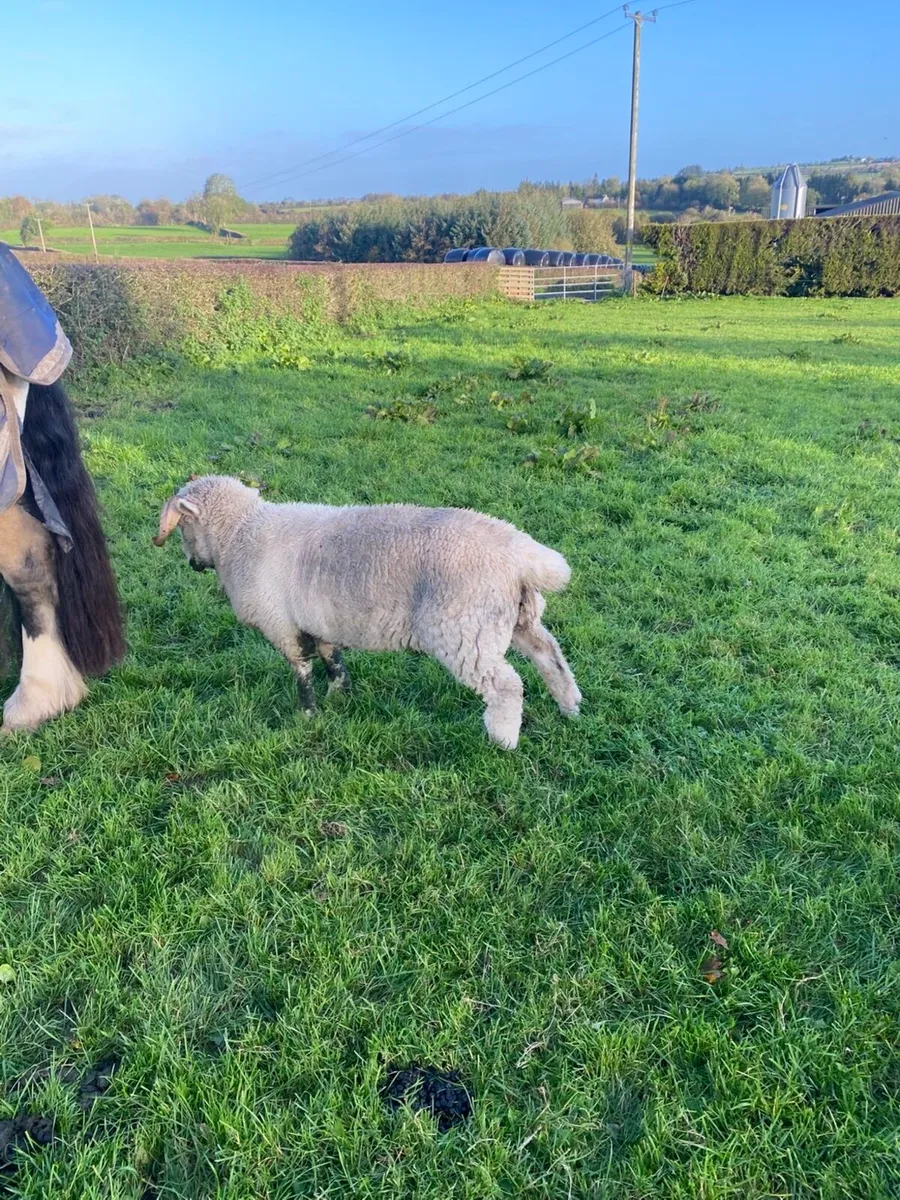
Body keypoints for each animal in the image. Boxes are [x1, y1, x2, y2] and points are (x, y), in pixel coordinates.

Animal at [152, 475, 581, 749]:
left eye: (182, 527)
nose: (192, 563)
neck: (240, 532)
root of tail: (521, 555)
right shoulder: (318, 618)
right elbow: (332, 658)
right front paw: (338, 696)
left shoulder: (280, 624)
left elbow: (301, 669)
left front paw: (308, 714)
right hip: (515, 616)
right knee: (550, 655)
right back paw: (570, 707)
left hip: (464, 628)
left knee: (506, 685)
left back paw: (502, 739)